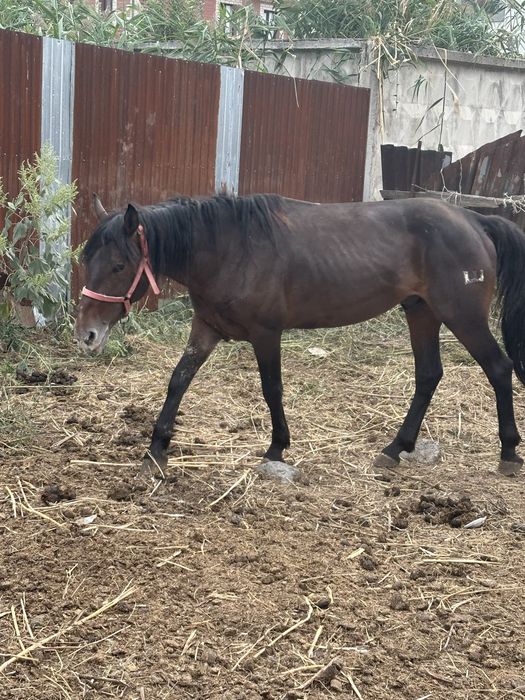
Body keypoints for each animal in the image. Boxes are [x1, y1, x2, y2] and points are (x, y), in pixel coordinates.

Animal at [75, 192, 525, 477]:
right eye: (86, 256)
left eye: (118, 265)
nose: (86, 335)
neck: (229, 248)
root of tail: (474, 219)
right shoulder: (207, 329)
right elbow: (178, 381)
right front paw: (156, 449)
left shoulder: (266, 333)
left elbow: (271, 388)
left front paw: (277, 446)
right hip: (422, 312)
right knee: (429, 375)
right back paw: (396, 448)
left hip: (461, 315)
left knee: (499, 369)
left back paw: (507, 453)